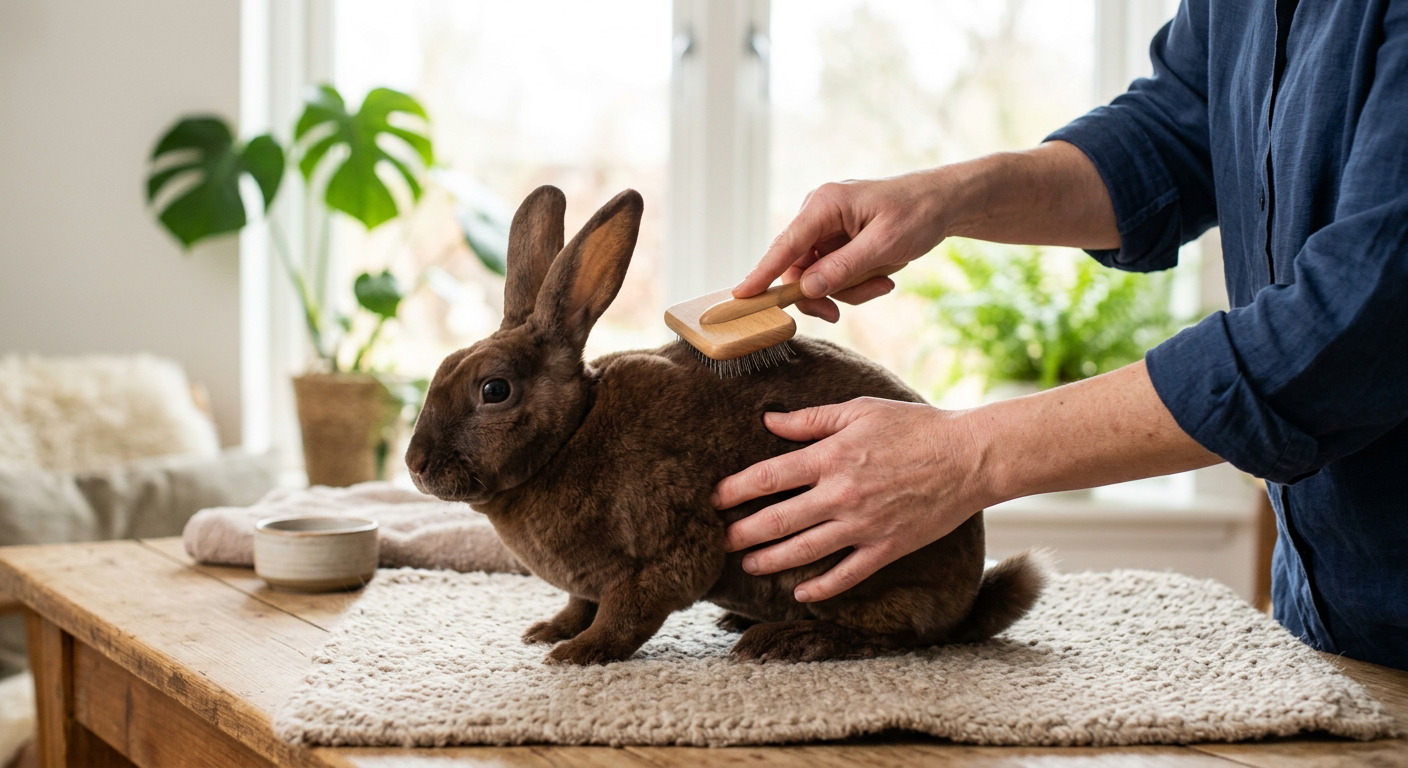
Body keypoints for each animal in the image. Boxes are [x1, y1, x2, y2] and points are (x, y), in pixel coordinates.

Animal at [405, 185, 1049, 665]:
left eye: (494, 390)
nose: (415, 465)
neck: (568, 434)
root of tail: (965, 601)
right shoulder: (586, 580)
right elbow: (578, 603)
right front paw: (549, 631)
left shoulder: (671, 548)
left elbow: (626, 611)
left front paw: (577, 654)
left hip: (851, 568)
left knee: (897, 634)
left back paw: (780, 640)